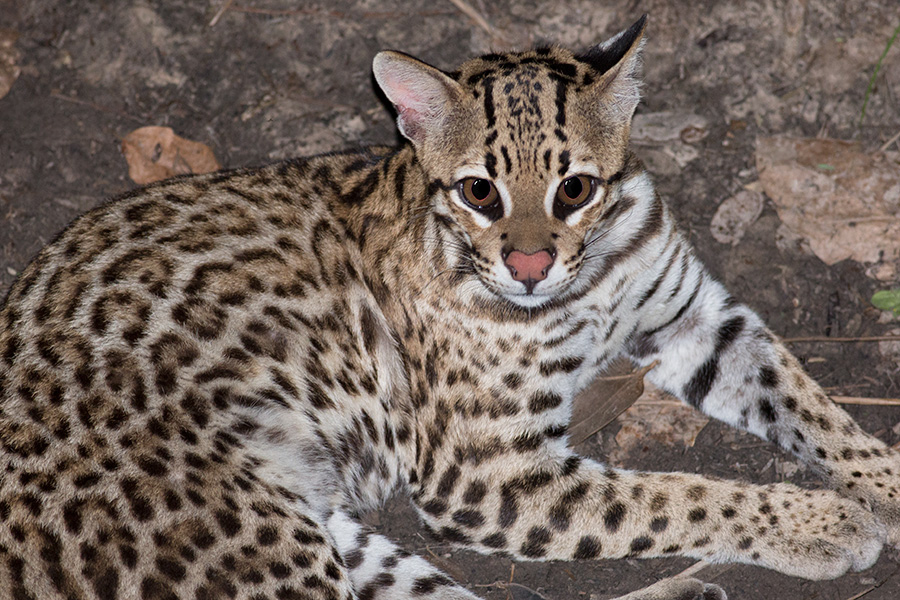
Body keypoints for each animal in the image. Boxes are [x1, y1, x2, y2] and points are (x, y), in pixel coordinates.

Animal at [1, 14, 900, 600]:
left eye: (575, 188)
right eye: (479, 191)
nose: (530, 265)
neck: (589, 276)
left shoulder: (698, 318)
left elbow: (812, 405)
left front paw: (877, 482)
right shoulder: (483, 471)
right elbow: (671, 495)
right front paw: (820, 519)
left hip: (318, 521)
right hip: (257, 545)